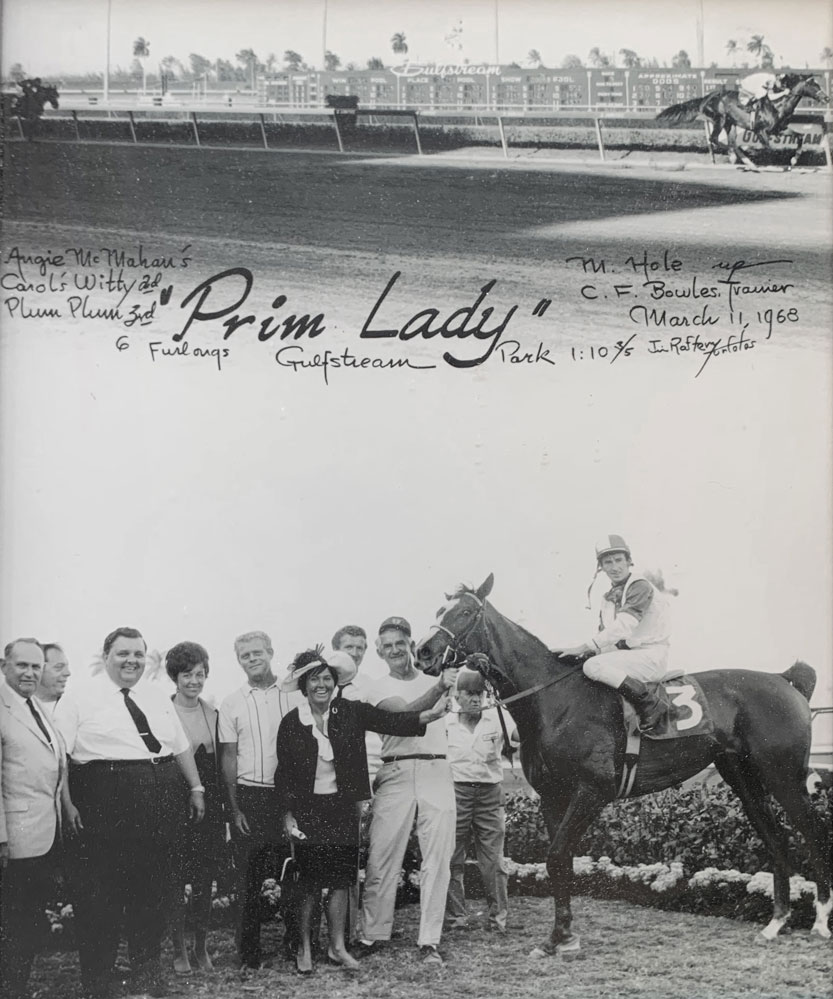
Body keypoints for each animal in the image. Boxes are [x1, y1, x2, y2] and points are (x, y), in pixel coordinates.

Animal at [416, 576, 832, 956]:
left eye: (465, 612)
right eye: (438, 612)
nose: (422, 652)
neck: (554, 700)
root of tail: (784, 680)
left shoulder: (592, 791)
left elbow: (556, 857)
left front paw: (560, 936)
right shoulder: (553, 796)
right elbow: (560, 862)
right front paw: (562, 936)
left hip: (785, 778)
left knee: (813, 833)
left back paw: (821, 921)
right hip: (746, 781)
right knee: (776, 839)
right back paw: (776, 922)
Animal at [656, 73, 824, 170]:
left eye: (818, 84)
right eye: (814, 86)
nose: (827, 98)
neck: (778, 104)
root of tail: (707, 97)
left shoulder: (779, 129)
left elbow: (800, 137)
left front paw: (794, 160)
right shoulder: (760, 130)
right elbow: (769, 148)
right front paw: (778, 164)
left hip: (730, 124)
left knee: (730, 142)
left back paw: (745, 161)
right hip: (720, 119)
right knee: (715, 139)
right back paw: (736, 157)